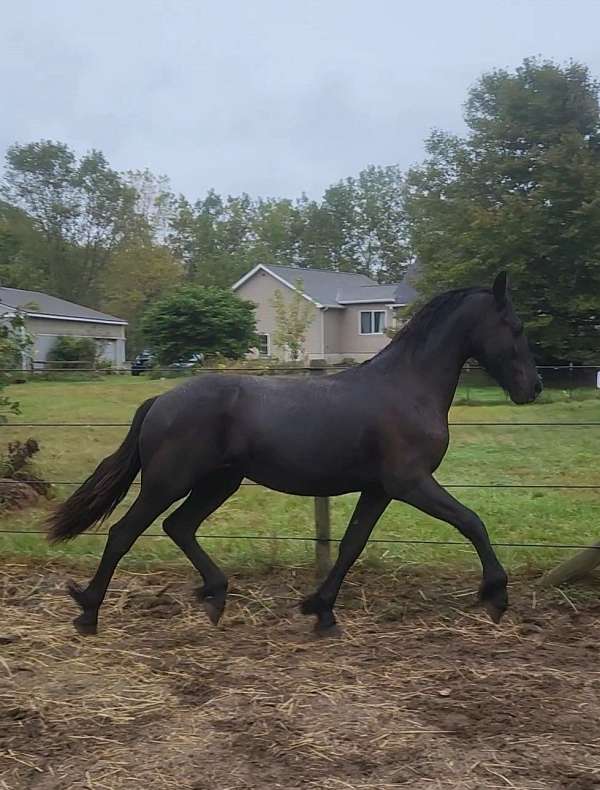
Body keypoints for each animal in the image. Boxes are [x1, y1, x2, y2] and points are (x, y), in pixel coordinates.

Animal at [49, 272, 540, 636]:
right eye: (516, 328)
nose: (532, 388)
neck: (408, 388)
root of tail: (159, 402)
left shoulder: (379, 489)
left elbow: (351, 545)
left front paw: (320, 609)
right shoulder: (411, 482)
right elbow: (471, 522)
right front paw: (496, 595)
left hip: (218, 482)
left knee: (179, 526)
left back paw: (215, 596)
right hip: (168, 481)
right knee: (124, 532)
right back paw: (88, 611)